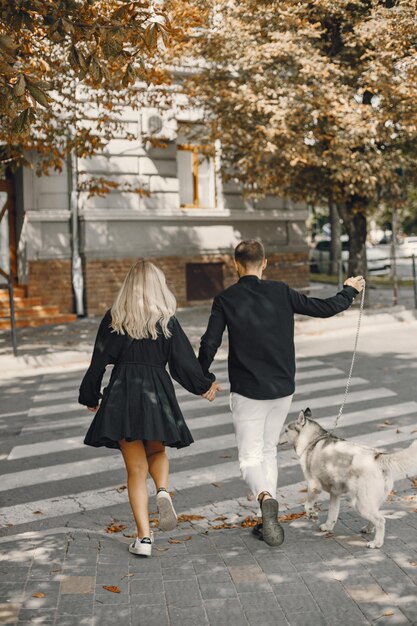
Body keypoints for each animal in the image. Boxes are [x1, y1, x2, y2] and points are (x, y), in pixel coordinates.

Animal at [288, 408, 417, 544]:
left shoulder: (314, 486)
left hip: (360, 503)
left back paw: (376, 543)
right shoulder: (335, 494)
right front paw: (328, 526)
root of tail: (377, 456)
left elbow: (307, 505)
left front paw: (312, 515)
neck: (313, 440)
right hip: (371, 501)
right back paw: (368, 529)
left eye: (285, 430)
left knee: (380, 520)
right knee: (375, 518)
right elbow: (332, 513)